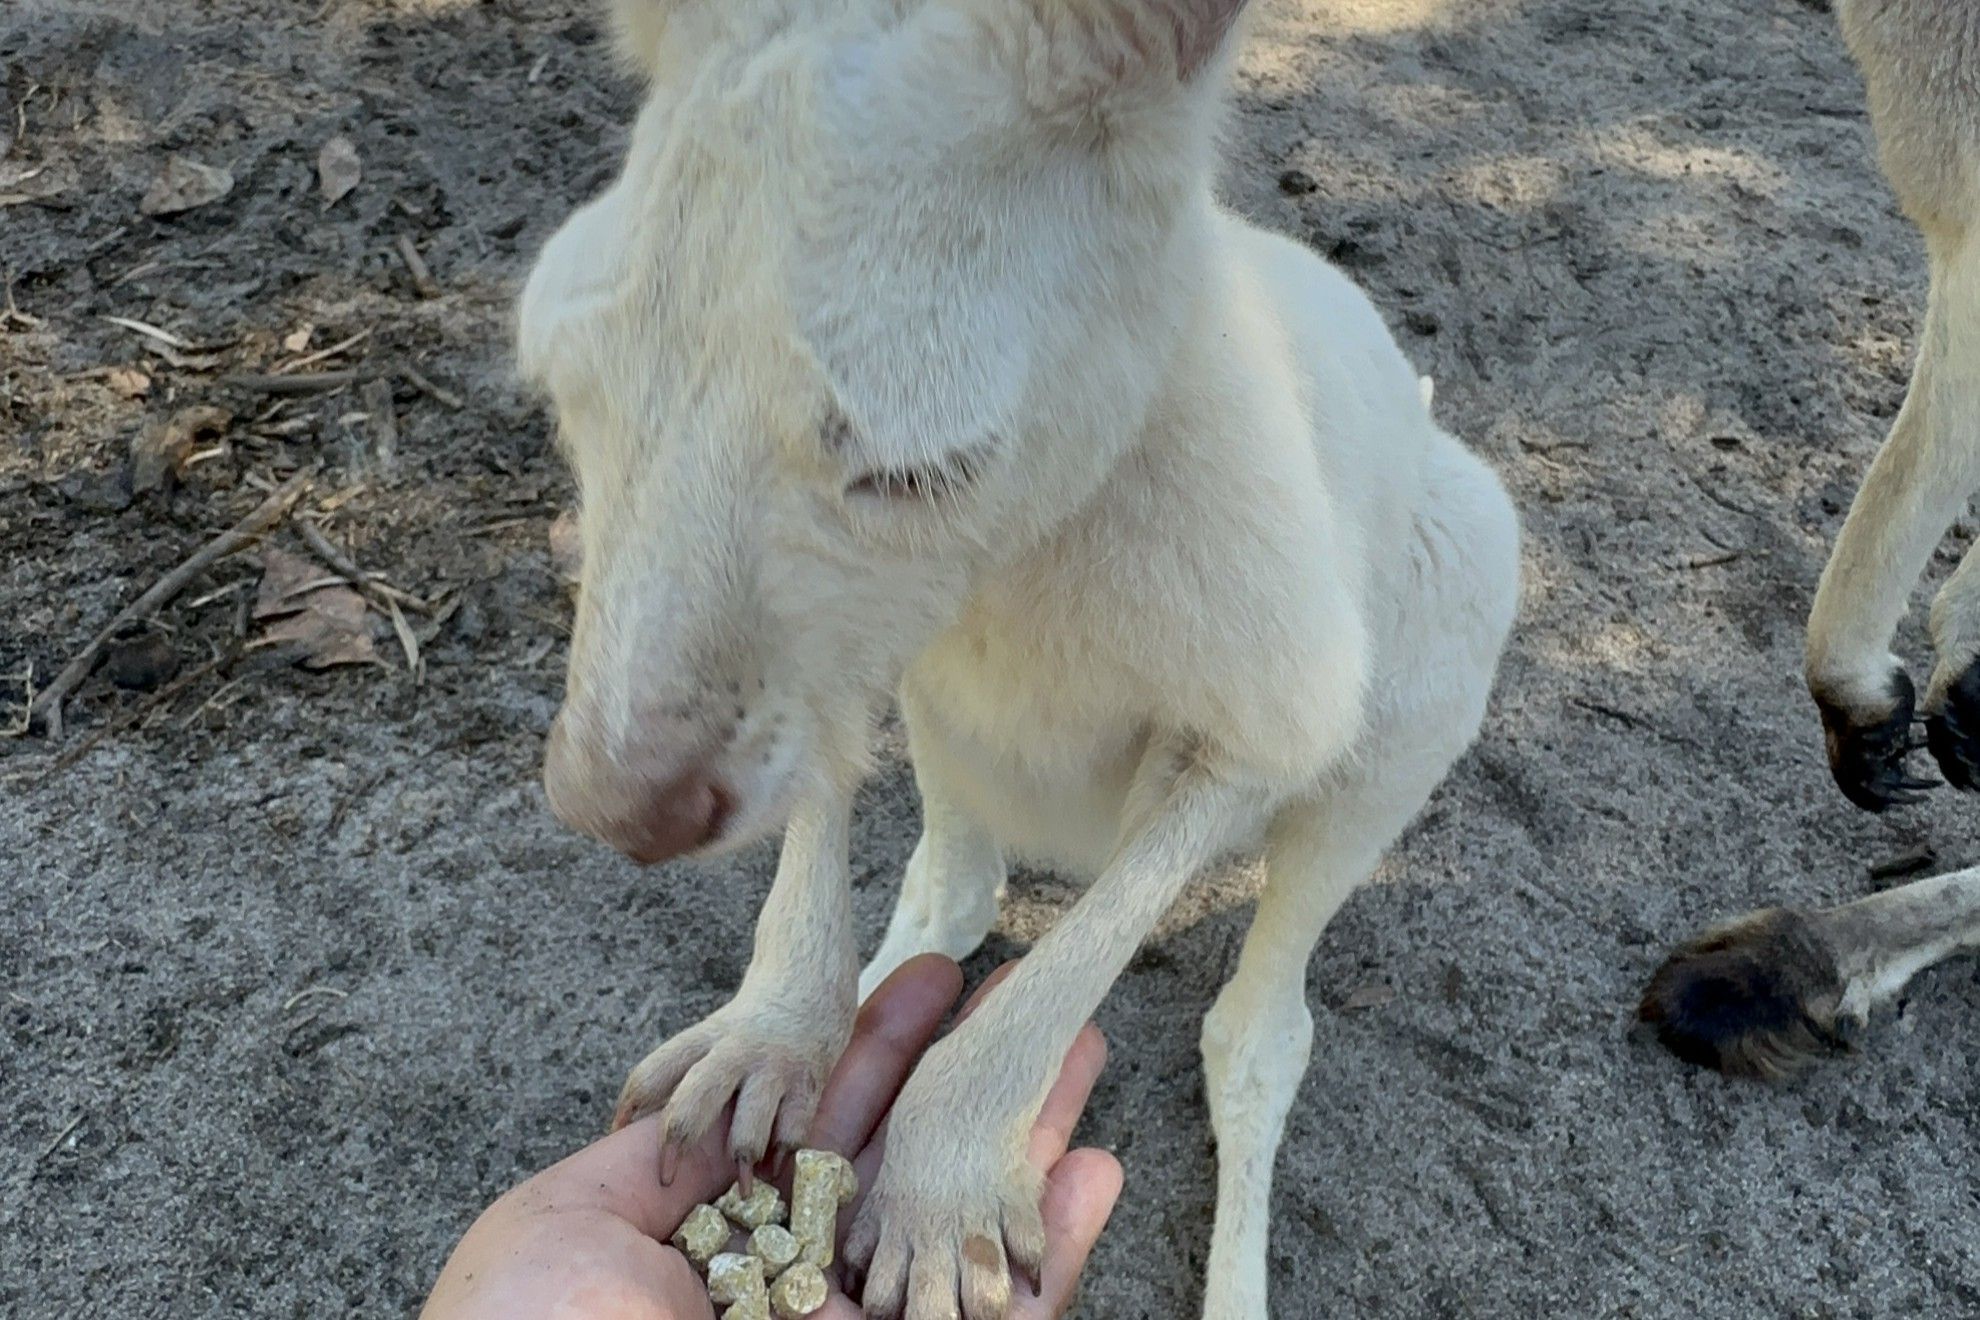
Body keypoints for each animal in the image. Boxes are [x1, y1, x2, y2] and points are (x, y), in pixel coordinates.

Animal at [518, 1, 1519, 1314]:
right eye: (561, 386)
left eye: (921, 471)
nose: (615, 811)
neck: (1026, 544)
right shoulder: (847, 644)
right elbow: (825, 768)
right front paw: (765, 1037)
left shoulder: (1281, 687)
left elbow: (1104, 932)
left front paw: (940, 1199)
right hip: (947, 721)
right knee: (952, 891)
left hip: (1452, 602)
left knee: (1255, 1027)